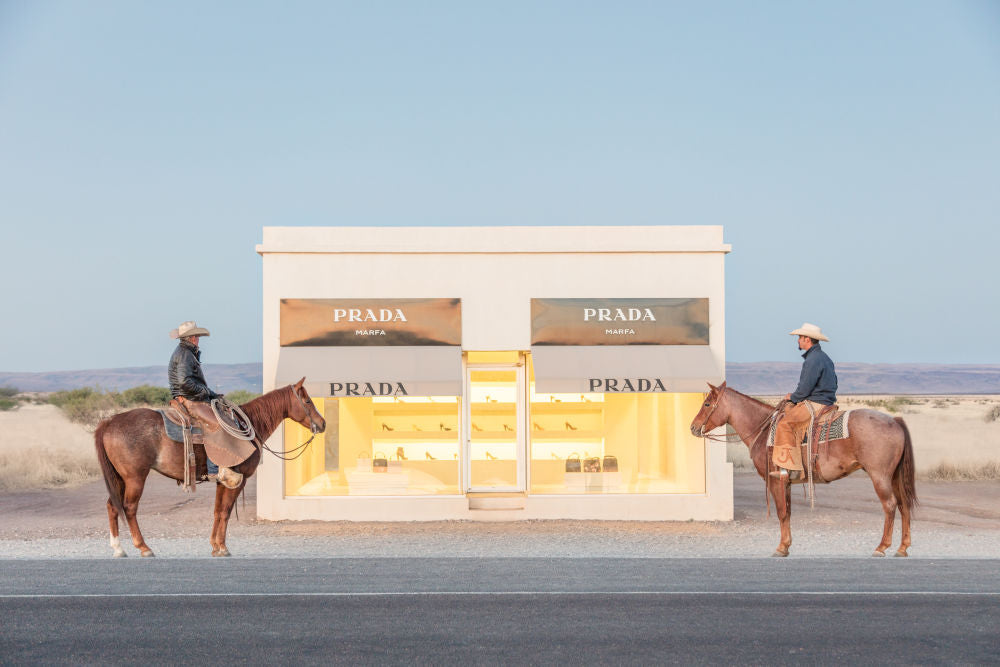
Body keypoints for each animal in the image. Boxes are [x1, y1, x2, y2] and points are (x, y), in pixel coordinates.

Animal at [92, 380, 322, 560]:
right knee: (129, 508)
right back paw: (144, 548)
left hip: (119, 478)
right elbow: (226, 511)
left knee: (112, 506)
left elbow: (218, 511)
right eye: (307, 401)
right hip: (135, 478)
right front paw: (223, 548)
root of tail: (110, 421)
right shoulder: (239, 479)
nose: (323, 423)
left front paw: (215, 546)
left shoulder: (223, 480)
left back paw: (118, 549)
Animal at [688, 380, 916, 560]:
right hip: (893, 477)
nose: (693, 427)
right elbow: (788, 512)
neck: (763, 431)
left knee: (890, 505)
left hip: (879, 476)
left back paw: (881, 547)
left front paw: (781, 548)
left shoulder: (775, 480)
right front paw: (787, 545)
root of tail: (894, 420)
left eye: (707, 403)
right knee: (903, 505)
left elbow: (781, 513)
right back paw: (902, 548)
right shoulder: (786, 481)